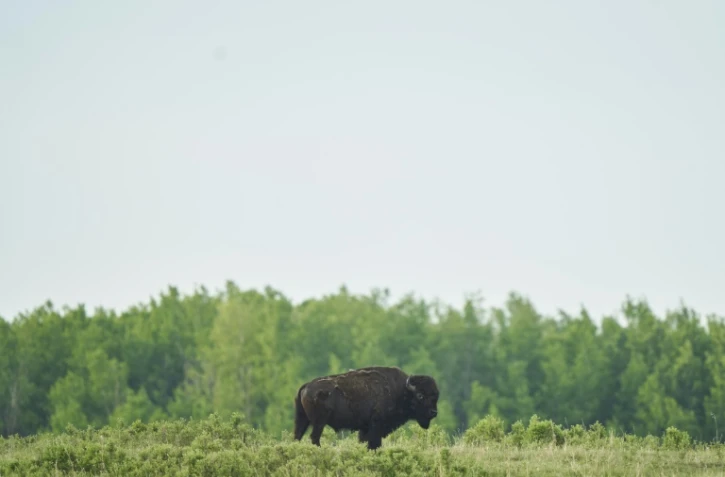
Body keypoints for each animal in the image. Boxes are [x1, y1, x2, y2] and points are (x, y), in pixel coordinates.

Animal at [293, 366, 439, 450]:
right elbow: (374, 444)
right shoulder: (376, 426)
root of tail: (306, 386)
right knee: (314, 438)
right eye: (420, 395)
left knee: (298, 436)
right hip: (319, 422)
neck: (401, 391)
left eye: (436, 396)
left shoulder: (365, 429)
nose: (434, 412)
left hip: (303, 420)